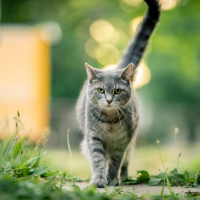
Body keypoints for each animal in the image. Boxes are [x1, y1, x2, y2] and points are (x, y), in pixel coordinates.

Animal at [76, 0, 160, 188]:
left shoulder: (123, 141)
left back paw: (125, 177)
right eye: (100, 90)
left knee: (126, 161)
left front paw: (112, 179)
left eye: (117, 91)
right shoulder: (93, 137)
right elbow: (97, 160)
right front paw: (99, 179)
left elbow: (116, 161)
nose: (108, 100)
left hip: (131, 144)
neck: (110, 122)